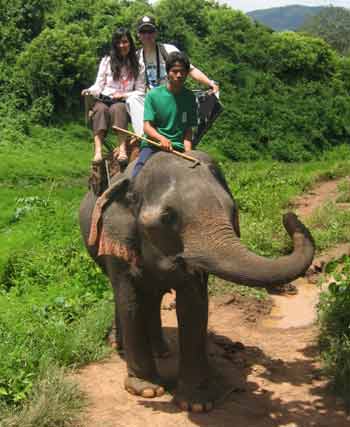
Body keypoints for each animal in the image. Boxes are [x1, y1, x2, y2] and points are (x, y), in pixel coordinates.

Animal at [79, 151, 314, 414]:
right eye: (167, 217)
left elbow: (193, 306)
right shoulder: (118, 239)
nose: (289, 216)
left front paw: (197, 403)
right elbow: (130, 300)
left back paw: (162, 350)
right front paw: (147, 391)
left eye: (233, 210)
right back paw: (119, 346)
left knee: (154, 296)